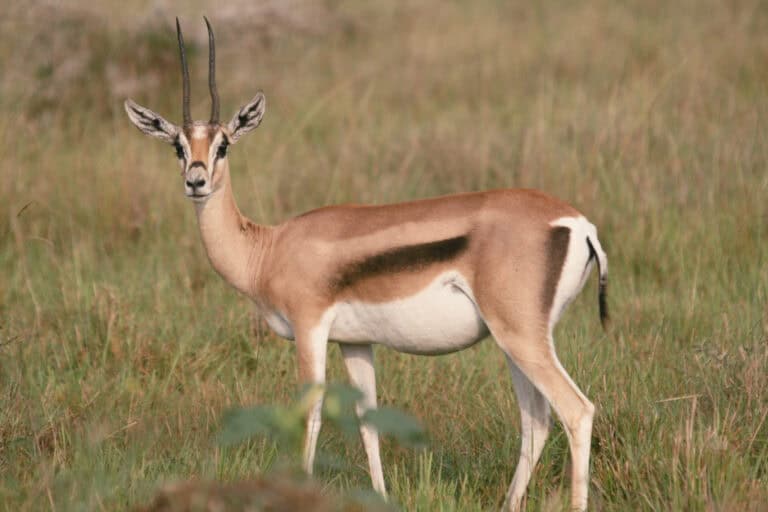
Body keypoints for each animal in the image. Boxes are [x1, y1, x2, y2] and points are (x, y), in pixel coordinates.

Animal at [124, 17, 609, 511]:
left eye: (222, 145)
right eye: (178, 146)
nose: (196, 181)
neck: (269, 248)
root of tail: (578, 223)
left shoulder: (310, 329)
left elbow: (311, 416)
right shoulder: (354, 343)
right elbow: (368, 421)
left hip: (521, 337)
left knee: (576, 410)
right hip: (513, 340)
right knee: (536, 419)